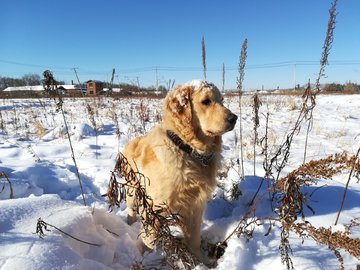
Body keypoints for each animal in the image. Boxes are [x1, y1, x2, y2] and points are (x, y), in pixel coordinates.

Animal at [122, 78, 238, 262]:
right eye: (206, 101)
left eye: (222, 100)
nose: (234, 118)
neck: (188, 150)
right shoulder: (154, 208)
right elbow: (148, 240)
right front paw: (146, 259)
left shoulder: (194, 207)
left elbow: (194, 241)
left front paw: (202, 262)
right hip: (132, 190)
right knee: (131, 211)